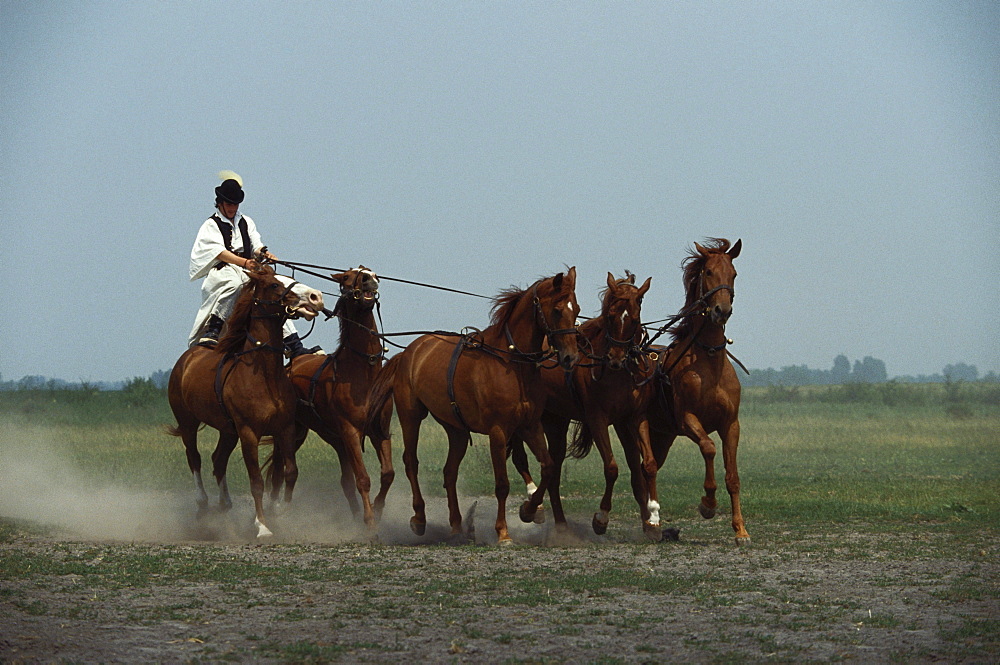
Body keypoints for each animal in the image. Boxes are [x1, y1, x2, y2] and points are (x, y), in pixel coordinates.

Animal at [167, 262, 324, 536]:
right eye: (274, 284)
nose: (315, 297)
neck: (263, 376)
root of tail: (187, 359)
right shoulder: (249, 433)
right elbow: (256, 481)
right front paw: (262, 525)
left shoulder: (284, 428)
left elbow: (290, 472)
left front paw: (280, 510)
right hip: (188, 422)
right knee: (194, 458)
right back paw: (203, 505)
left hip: (228, 430)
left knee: (218, 460)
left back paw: (224, 504)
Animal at [284, 264, 392, 528]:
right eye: (346, 276)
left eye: (370, 271)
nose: (369, 279)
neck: (362, 372)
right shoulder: (351, 432)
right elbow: (363, 479)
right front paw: (370, 523)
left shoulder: (379, 429)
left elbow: (387, 474)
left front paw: (378, 509)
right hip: (295, 431)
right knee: (286, 472)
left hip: (334, 439)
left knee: (345, 482)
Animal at [366, 270, 580, 544]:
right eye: (556, 310)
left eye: (576, 310)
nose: (570, 358)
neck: (512, 363)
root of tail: (408, 353)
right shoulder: (498, 432)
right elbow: (502, 484)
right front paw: (503, 533)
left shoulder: (530, 426)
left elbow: (549, 467)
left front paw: (529, 510)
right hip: (410, 416)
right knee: (411, 462)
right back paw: (419, 518)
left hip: (455, 429)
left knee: (449, 472)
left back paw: (457, 526)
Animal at [508, 274, 664, 540]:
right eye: (610, 316)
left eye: (634, 319)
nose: (615, 358)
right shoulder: (597, 418)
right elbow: (611, 468)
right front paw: (601, 518)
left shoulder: (634, 418)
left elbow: (647, 465)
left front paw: (652, 519)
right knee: (524, 459)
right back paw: (533, 507)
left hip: (556, 422)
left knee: (553, 470)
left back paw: (561, 524)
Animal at [640, 239, 752, 544]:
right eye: (709, 272)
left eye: (734, 273)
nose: (721, 310)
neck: (709, 361)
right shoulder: (688, 420)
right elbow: (709, 448)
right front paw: (708, 505)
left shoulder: (731, 424)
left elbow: (733, 476)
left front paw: (740, 530)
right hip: (639, 425)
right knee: (648, 466)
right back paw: (652, 523)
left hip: (663, 435)